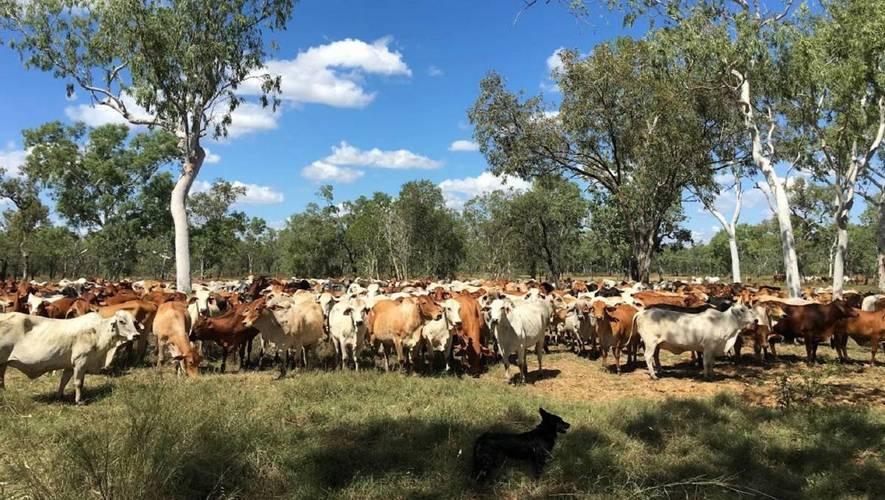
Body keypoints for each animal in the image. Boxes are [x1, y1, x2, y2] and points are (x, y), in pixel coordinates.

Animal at [0, 310, 140, 404]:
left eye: (135, 322)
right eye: (122, 321)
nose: (136, 335)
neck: (98, 332)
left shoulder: (70, 365)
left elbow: (64, 381)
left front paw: (59, 396)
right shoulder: (81, 361)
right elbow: (78, 383)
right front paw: (78, 401)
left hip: (3, 363)